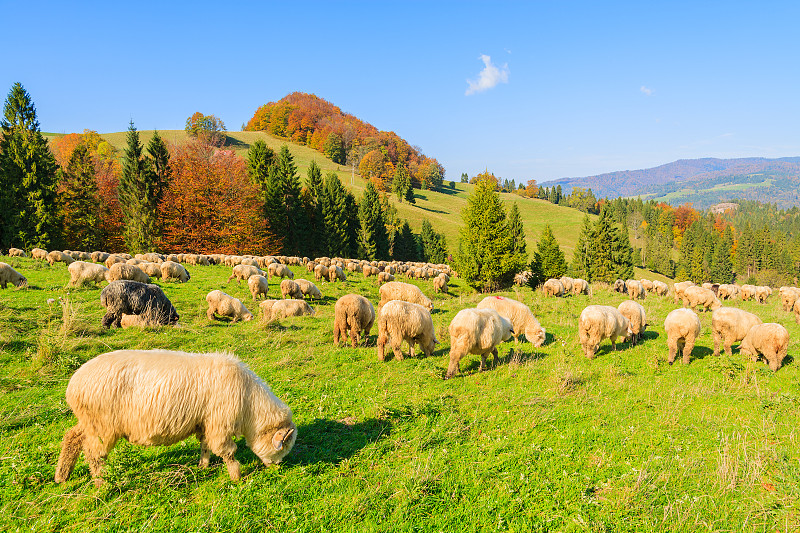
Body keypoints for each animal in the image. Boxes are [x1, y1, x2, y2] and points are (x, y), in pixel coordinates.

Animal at [54, 348, 296, 484]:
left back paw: (62, 476)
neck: (249, 404)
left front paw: (203, 465)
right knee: (93, 453)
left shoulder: (204, 421)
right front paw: (236, 476)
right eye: (282, 447)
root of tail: (73, 385)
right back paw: (100, 482)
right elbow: (227, 451)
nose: (277, 468)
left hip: (90, 422)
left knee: (72, 437)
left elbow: (205, 445)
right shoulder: (219, 424)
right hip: (103, 426)